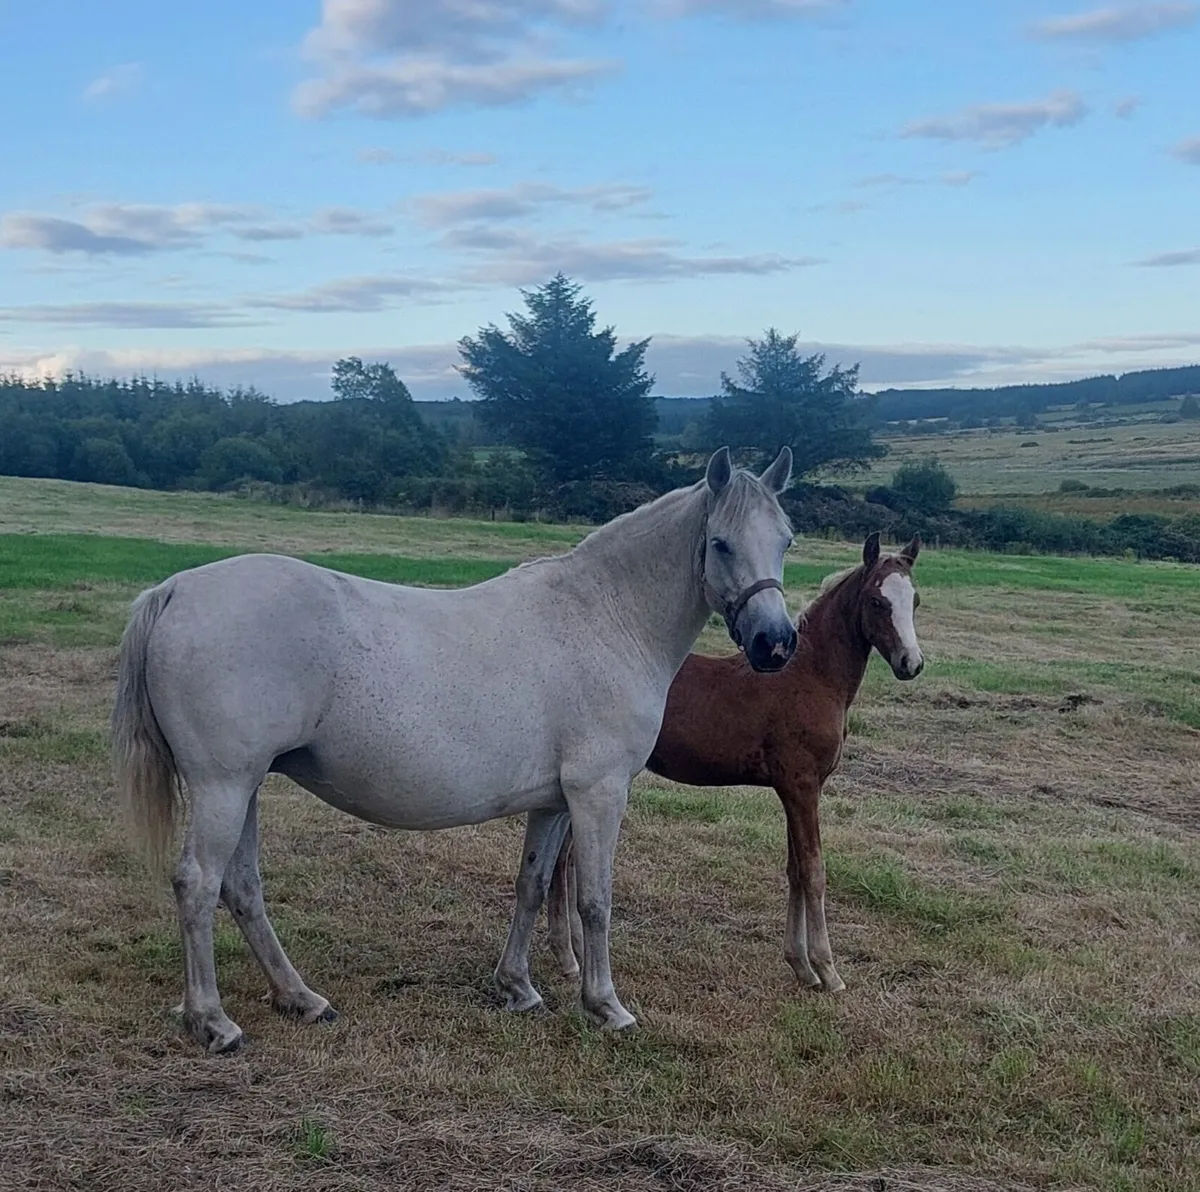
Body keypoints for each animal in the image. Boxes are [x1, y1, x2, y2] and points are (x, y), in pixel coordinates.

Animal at [111, 447, 798, 1053]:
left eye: (787, 539)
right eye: (721, 543)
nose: (775, 644)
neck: (605, 619)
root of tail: (174, 591)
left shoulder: (554, 801)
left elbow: (532, 883)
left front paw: (517, 988)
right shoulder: (599, 794)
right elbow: (595, 901)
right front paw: (606, 1006)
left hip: (246, 786)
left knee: (242, 887)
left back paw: (301, 999)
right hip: (222, 786)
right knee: (197, 884)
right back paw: (214, 1022)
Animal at [545, 532, 923, 995]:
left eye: (915, 600)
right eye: (876, 601)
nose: (911, 663)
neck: (812, 676)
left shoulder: (793, 789)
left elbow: (795, 869)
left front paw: (801, 966)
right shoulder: (803, 786)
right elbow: (814, 871)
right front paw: (828, 970)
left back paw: (574, 953)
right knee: (564, 861)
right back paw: (569, 956)